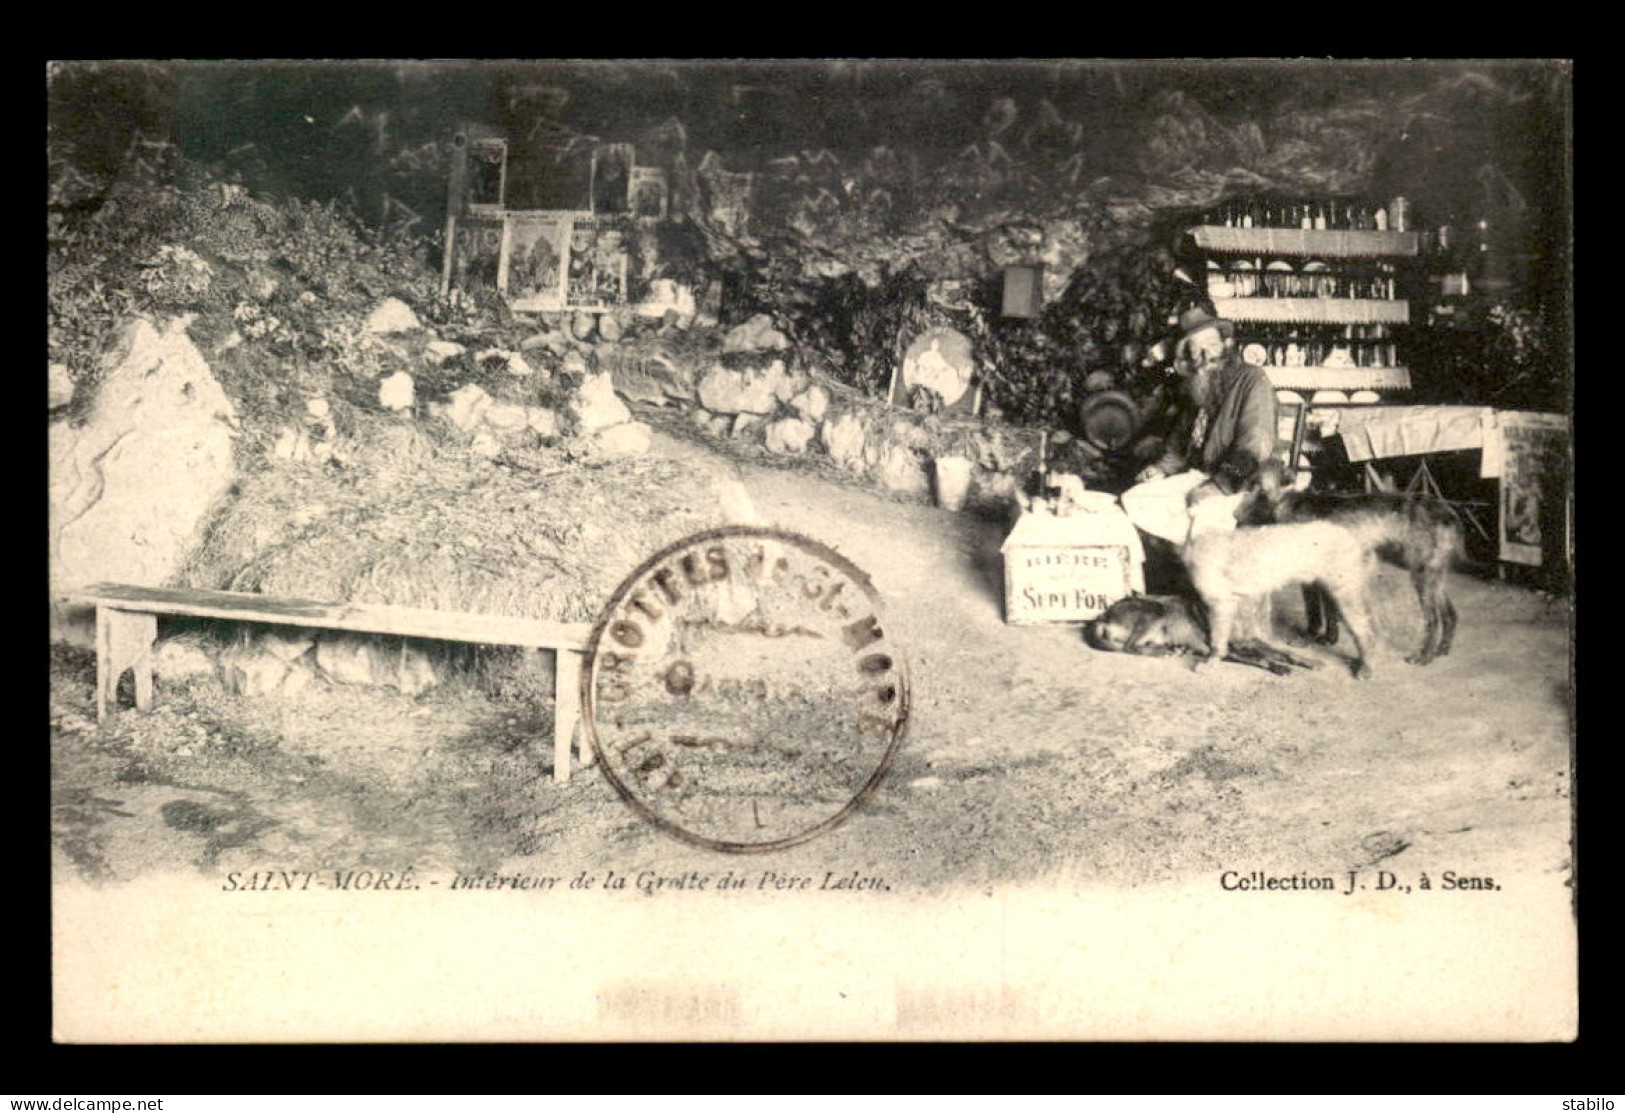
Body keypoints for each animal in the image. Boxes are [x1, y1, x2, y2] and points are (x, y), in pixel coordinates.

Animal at [1079, 594, 1319, 672]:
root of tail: (1102, 615)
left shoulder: (1253, 642)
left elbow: (1284, 653)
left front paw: (1309, 661)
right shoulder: (1231, 650)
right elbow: (1262, 659)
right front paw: (1279, 667)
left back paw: (1174, 648)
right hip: (1155, 609)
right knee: (1130, 647)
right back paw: (1163, 652)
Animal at [1235, 464, 1469, 662]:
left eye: (1257, 486)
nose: (1234, 515)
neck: (1287, 502)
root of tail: (1449, 513)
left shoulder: (1312, 577)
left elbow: (1314, 613)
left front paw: (1308, 637)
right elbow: (1330, 611)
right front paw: (1329, 638)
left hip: (1422, 575)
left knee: (1434, 620)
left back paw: (1424, 656)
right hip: (1434, 576)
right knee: (1450, 614)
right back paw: (1442, 649)